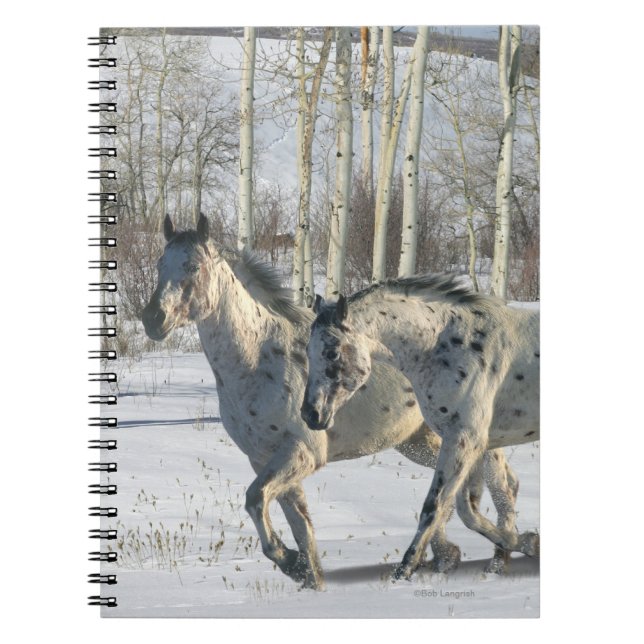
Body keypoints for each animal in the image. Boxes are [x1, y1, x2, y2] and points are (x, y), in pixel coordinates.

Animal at [301, 274, 540, 581]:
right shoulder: (473, 443)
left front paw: (404, 570)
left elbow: (435, 506)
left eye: (331, 352)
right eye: (307, 351)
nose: (310, 414)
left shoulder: (465, 439)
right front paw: (523, 543)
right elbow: (469, 507)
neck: (449, 346)